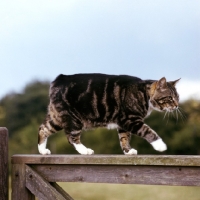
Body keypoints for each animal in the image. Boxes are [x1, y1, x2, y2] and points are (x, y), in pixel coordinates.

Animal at [37, 74, 180, 155]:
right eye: (170, 98)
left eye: (177, 97)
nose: (177, 105)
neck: (144, 94)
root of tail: (59, 79)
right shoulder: (130, 119)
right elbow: (147, 131)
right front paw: (160, 145)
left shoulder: (123, 123)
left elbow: (124, 138)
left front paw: (128, 151)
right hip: (73, 118)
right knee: (71, 137)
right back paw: (85, 151)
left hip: (56, 117)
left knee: (43, 128)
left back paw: (42, 150)